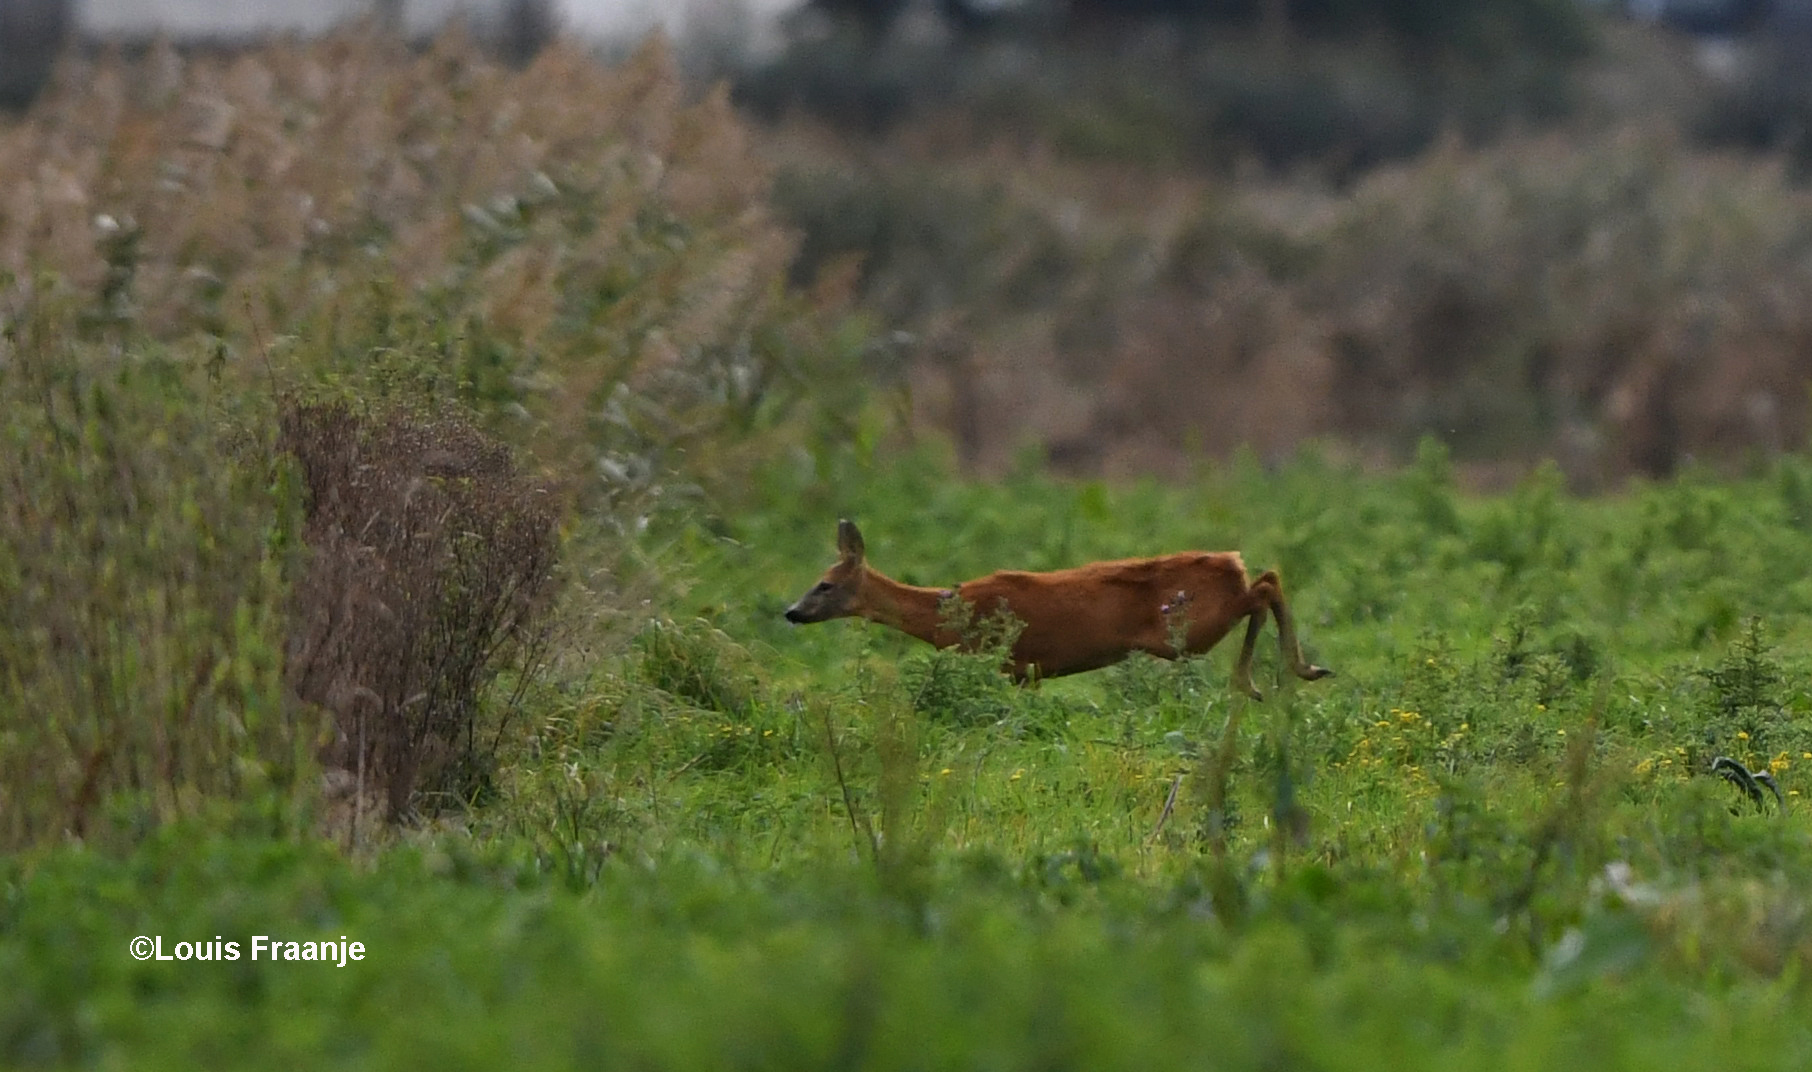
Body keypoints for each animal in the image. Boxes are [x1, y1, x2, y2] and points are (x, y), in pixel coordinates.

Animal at [779, 517, 1333, 695]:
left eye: (824, 584)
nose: (790, 612)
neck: (944, 615)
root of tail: (1228, 560)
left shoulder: (1011, 664)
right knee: (1268, 580)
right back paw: (1288, 673)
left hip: (1191, 628)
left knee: (1264, 586)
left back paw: (1269, 677)